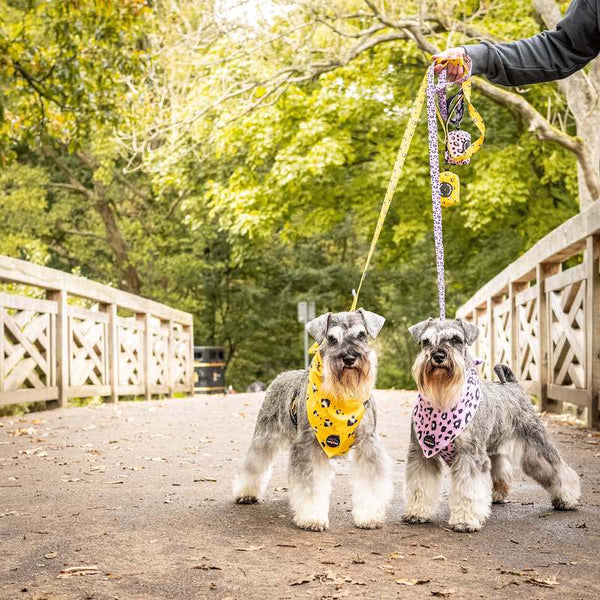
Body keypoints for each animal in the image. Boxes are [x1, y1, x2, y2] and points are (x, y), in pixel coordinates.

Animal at [233, 310, 394, 528]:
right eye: (332, 338)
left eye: (361, 334)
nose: (349, 358)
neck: (342, 399)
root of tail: (281, 375)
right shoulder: (308, 447)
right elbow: (310, 486)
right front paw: (312, 517)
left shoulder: (368, 444)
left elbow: (371, 484)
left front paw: (369, 516)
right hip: (264, 437)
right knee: (253, 463)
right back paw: (245, 492)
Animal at [400, 316, 580, 532]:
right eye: (426, 341)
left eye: (455, 339)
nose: (438, 356)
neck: (444, 399)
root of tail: (513, 385)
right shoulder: (420, 453)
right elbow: (420, 485)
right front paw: (417, 513)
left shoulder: (470, 454)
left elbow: (468, 489)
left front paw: (465, 520)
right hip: (494, 447)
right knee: (500, 468)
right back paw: (499, 493)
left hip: (536, 445)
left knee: (557, 467)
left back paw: (567, 499)